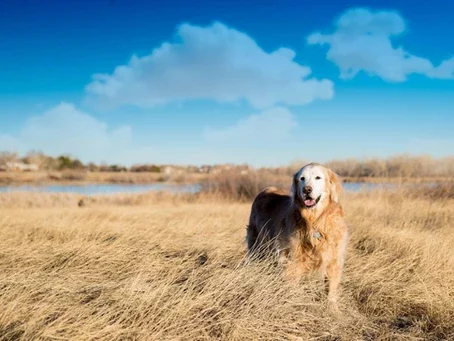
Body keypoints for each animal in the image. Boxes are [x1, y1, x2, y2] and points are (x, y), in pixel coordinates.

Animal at [248, 162, 348, 306]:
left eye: (318, 177)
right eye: (302, 178)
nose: (307, 190)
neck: (315, 221)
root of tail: (264, 190)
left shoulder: (334, 259)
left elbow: (331, 290)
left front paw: (332, 308)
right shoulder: (292, 260)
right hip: (257, 245)